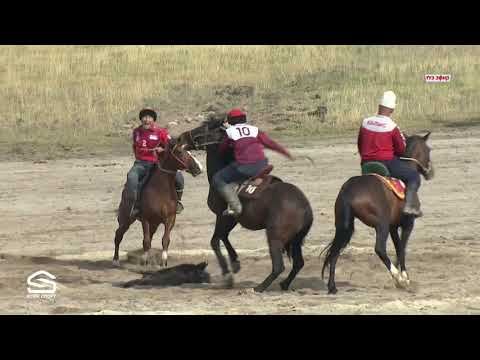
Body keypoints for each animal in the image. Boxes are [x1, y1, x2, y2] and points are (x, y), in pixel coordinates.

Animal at [178, 118, 314, 292]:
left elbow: (215, 240)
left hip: (274, 237)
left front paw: (228, 274)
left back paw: (260, 287)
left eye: (205, 129)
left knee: (278, 266)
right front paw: (235, 262)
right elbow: (224, 237)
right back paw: (284, 284)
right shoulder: (232, 219)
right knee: (298, 263)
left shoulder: (223, 217)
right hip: (296, 240)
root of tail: (305, 208)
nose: (181, 137)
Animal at [320, 131, 434, 294]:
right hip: (381, 225)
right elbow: (402, 248)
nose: (430, 171)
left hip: (344, 227)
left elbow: (398, 247)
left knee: (335, 251)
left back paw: (332, 286)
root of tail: (348, 191)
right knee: (379, 248)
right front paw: (404, 278)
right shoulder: (407, 224)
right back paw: (397, 277)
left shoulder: (393, 227)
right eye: (428, 149)